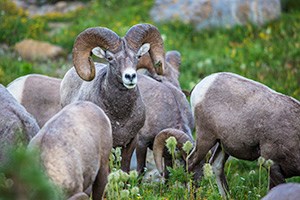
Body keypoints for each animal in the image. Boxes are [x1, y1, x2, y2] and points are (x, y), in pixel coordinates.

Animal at [59, 23, 165, 172]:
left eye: (138, 56)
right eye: (109, 58)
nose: (130, 76)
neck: (120, 117)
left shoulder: (131, 142)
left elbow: (125, 168)